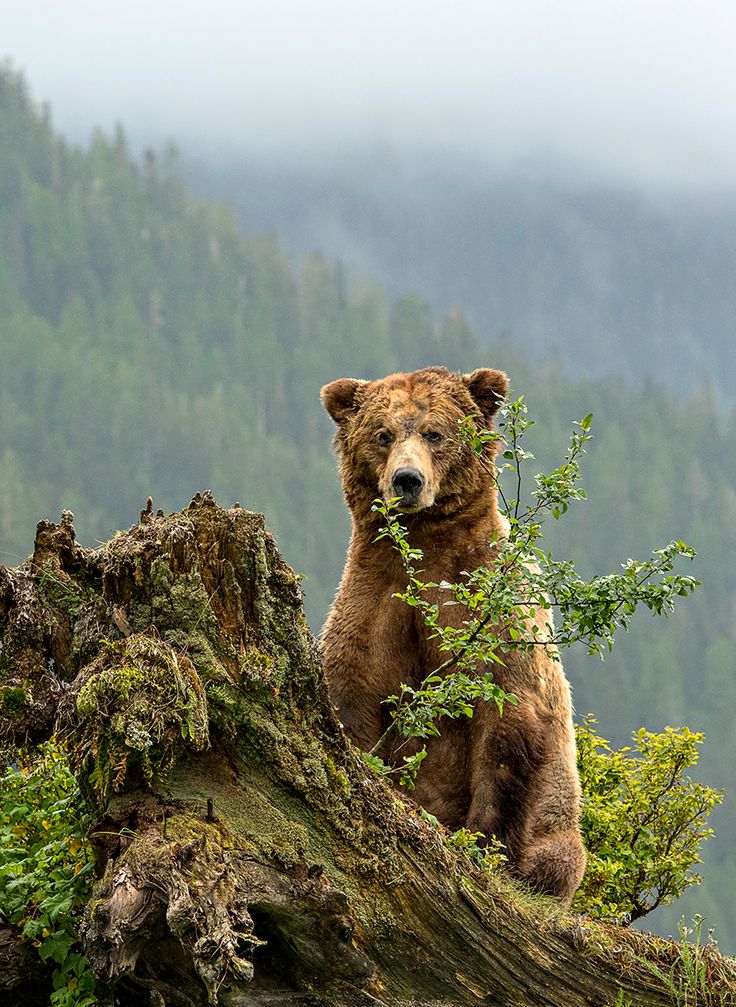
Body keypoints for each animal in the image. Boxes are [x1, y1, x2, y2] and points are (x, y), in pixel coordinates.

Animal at [322, 368, 587, 906]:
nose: (407, 480)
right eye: (382, 434)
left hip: (561, 824)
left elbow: (507, 723)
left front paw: (484, 845)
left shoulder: (493, 618)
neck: (428, 548)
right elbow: (353, 693)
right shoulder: (375, 601)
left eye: (435, 433)